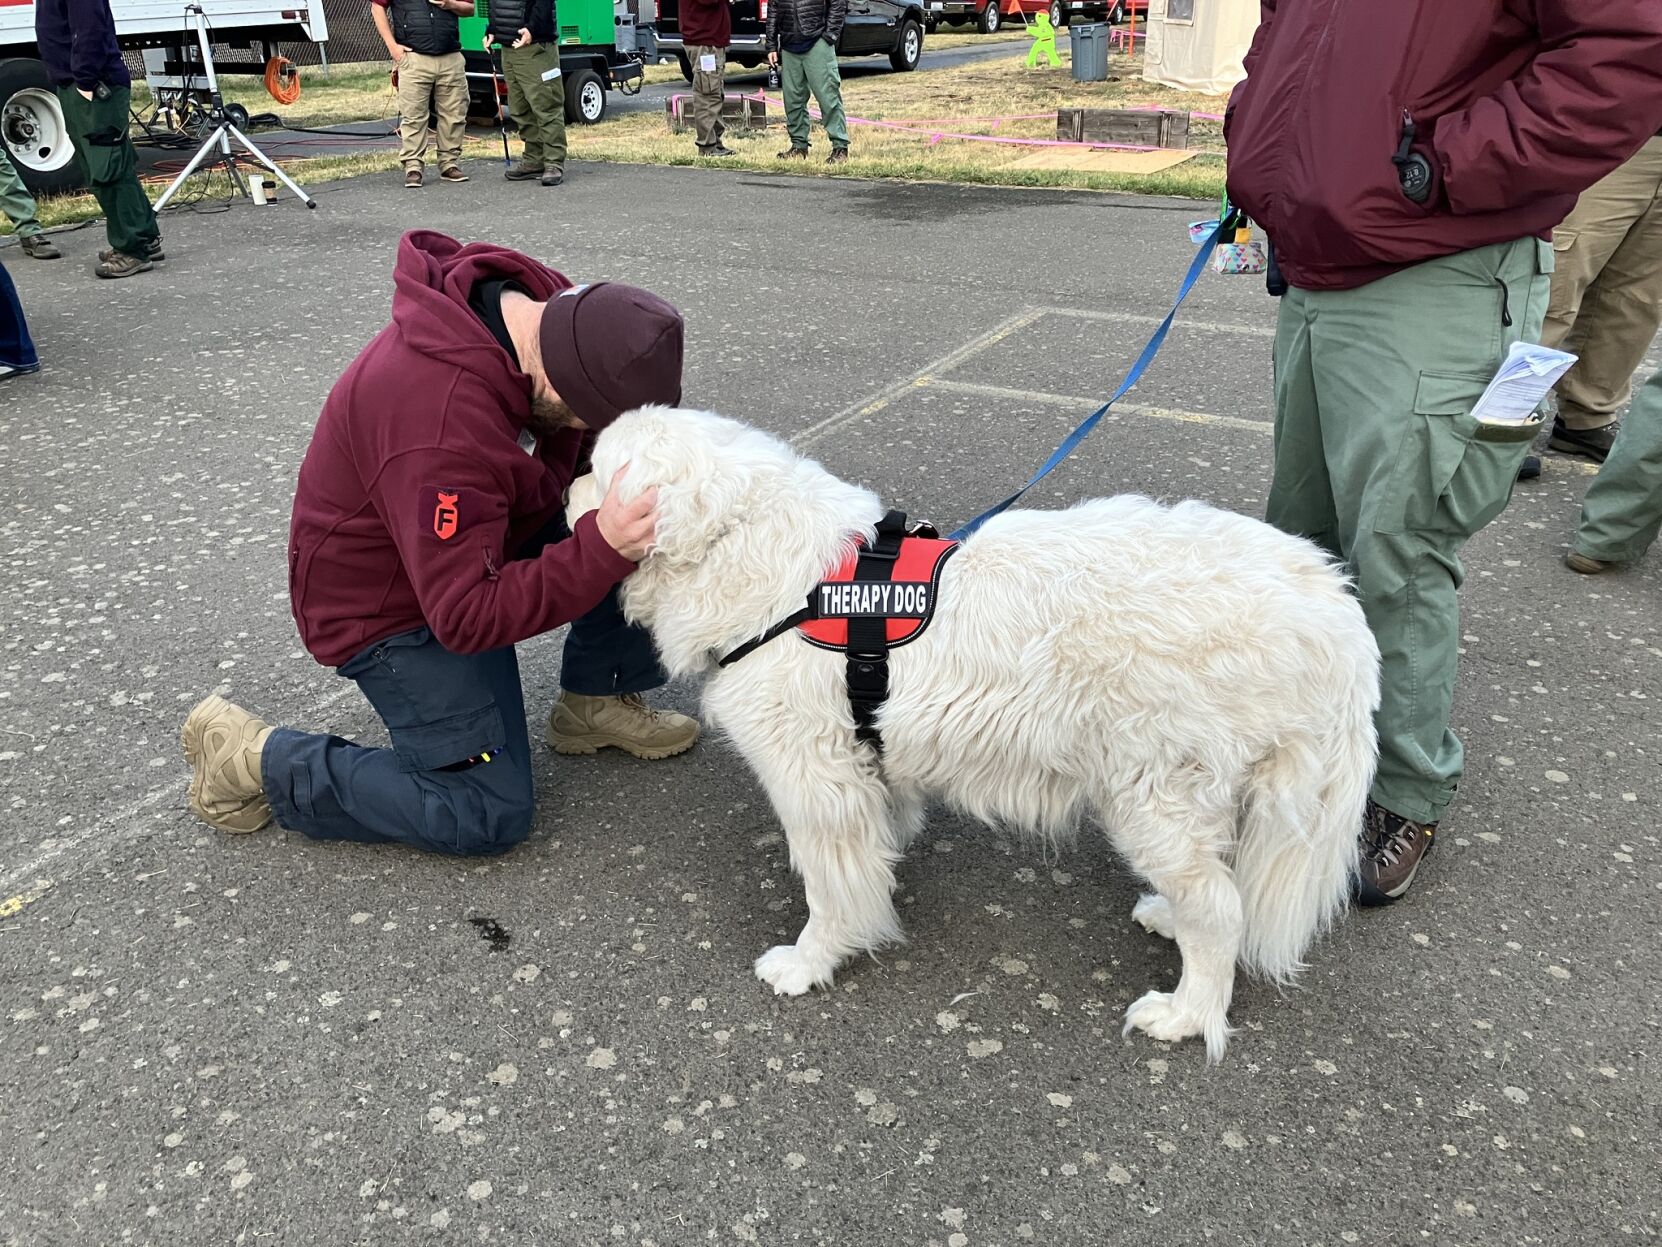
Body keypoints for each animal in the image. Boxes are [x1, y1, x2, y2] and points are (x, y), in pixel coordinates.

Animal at [568, 407, 1376, 1057]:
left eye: (593, 469)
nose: (565, 500)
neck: (759, 560)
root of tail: (1328, 596)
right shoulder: (864, 763)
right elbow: (876, 846)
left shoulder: (815, 783)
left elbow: (830, 889)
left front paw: (810, 961)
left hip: (1155, 796)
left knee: (1220, 908)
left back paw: (1186, 1012)